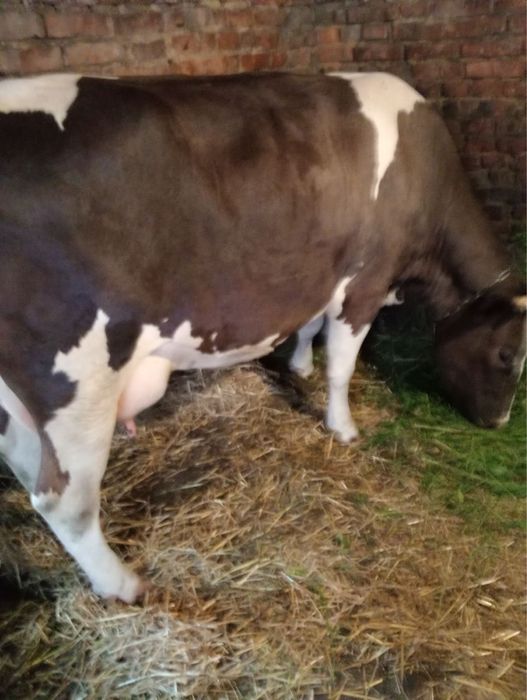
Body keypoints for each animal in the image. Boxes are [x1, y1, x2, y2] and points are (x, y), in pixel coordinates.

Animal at [0, 71, 525, 602]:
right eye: (507, 355)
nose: (499, 422)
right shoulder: (366, 283)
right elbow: (342, 365)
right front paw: (343, 427)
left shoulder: (321, 274)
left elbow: (310, 326)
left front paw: (300, 367)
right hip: (77, 378)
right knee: (64, 500)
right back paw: (124, 585)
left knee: (24, 462)